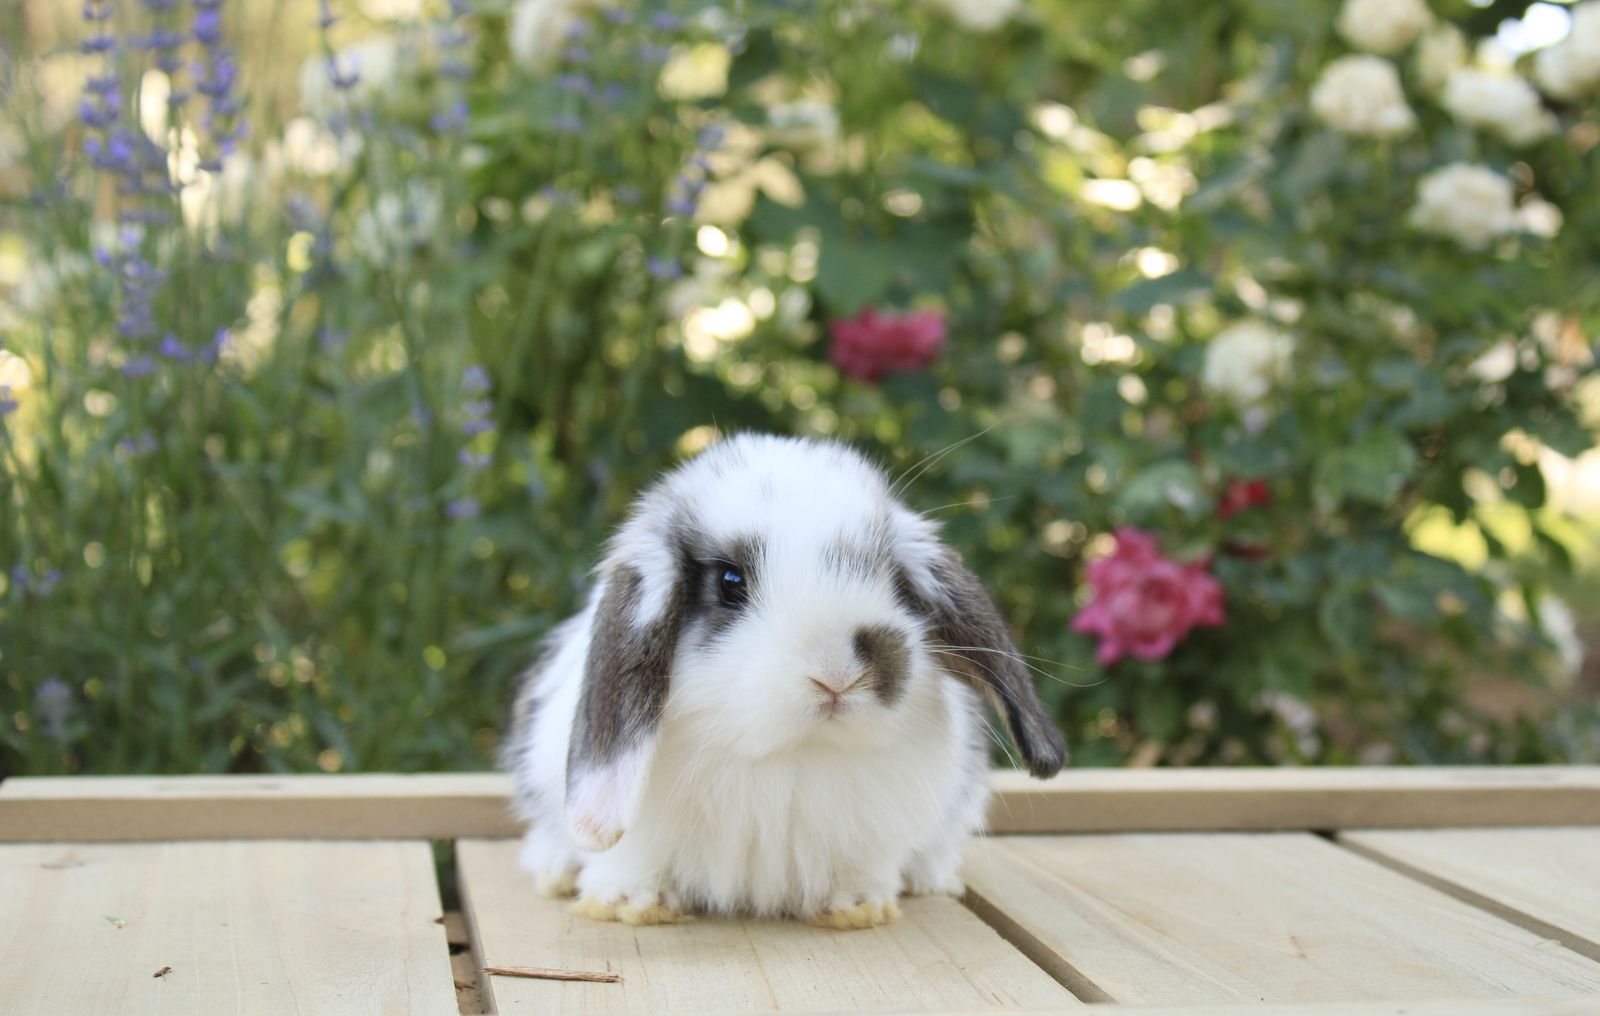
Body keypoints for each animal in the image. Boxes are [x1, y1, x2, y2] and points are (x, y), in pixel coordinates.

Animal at [502, 433, 1066, 929]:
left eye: (891, 579)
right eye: (730, 583)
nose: (837, 673)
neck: (787, 754)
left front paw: (856, 907)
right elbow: (627, 860)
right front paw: (628, 904)